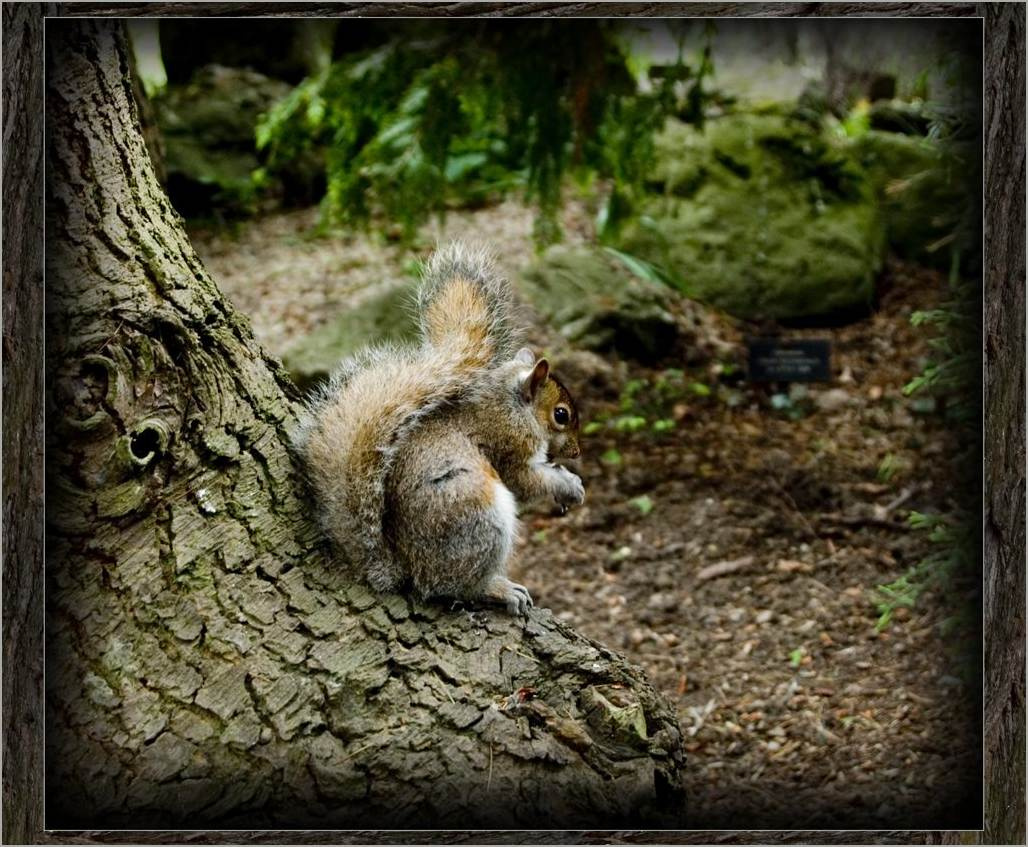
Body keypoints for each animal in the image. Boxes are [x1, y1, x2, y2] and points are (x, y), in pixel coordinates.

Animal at [295, 242, 584, 615]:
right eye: (561, 415)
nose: (577, 451)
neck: (510, 402)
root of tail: (406, 569)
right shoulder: (508, 444)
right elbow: (526, 480)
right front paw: (567, 485)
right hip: (476, 512)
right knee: (455, 586)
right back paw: (497, 589)